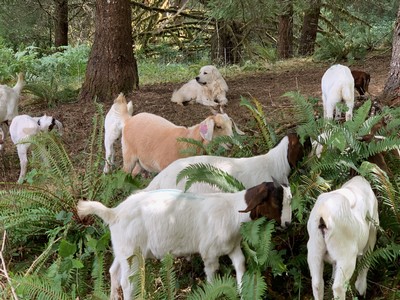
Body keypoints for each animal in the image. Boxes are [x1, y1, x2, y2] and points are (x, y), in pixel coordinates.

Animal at [76, 179, 292, 298]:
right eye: (276, 200)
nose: (288, 223)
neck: (232, 210)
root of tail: (114, 213)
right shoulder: (209, 252)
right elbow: (212, 274)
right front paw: (213, 292)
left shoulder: (232, 246)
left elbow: (240, 264)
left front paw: (241, 290)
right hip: (132, 253)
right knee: (128, 283)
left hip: (122, 250)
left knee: (113, 272)